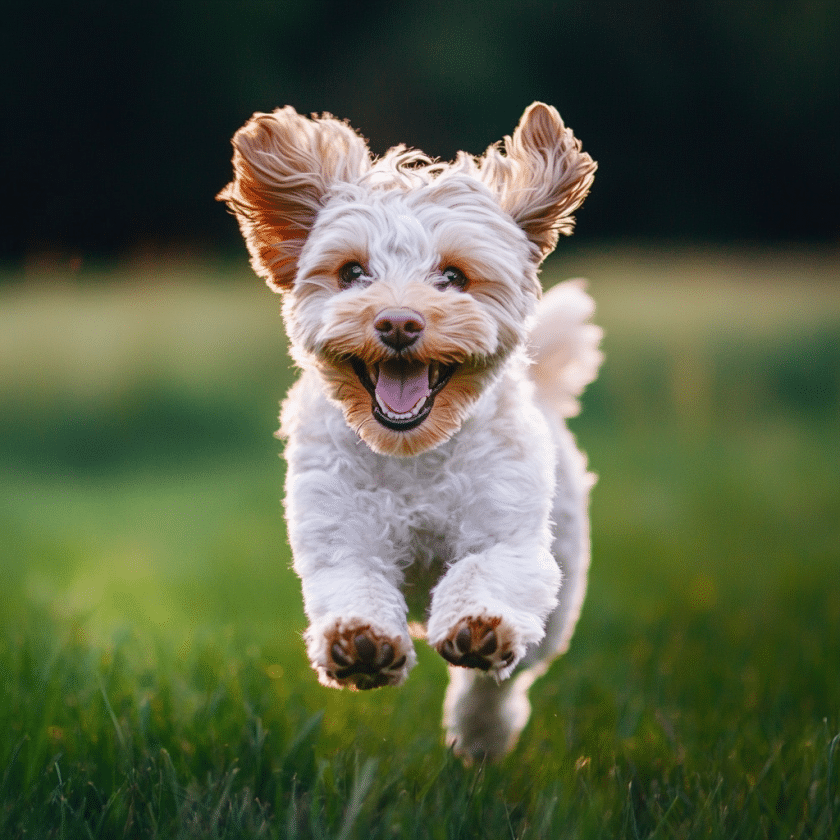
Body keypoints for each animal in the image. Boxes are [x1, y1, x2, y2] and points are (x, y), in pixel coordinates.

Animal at [217, 105, 596, 760]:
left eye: (453, 276)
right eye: (352, 272)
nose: (397, 322)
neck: (412, 450)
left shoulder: (508, 538)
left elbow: (486, 575)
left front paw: (478, 631)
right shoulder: (341, 536)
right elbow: (355, 585)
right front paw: (361, 644)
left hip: (562, 587)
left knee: (505, 679)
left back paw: (481, 732)